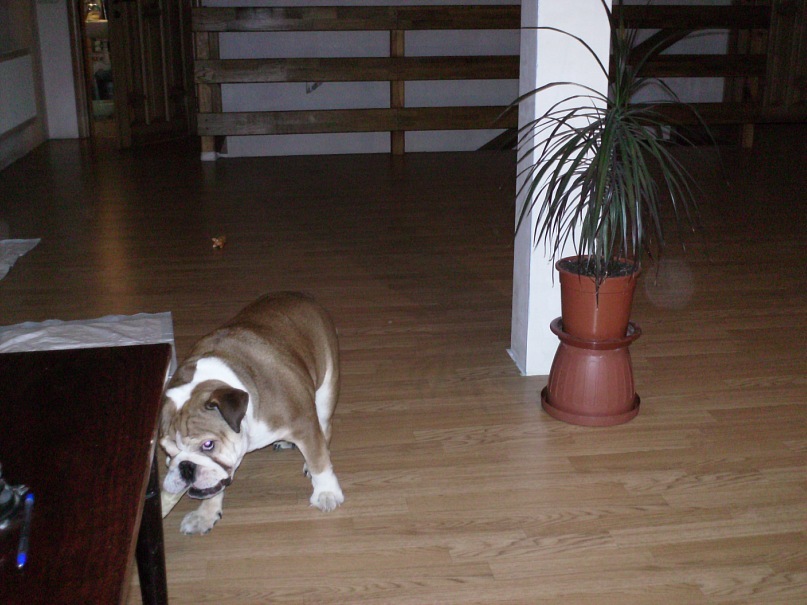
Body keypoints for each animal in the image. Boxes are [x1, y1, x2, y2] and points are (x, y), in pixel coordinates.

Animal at [159, 292, 344, 534]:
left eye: (208, 445)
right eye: (167, 451)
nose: (186, 467)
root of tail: (300, 296)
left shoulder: (304, 424)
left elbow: (318, 461)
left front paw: (326, 493)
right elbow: (214, 486)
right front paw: (205, 515)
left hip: (325, 388)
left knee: (324, 430)